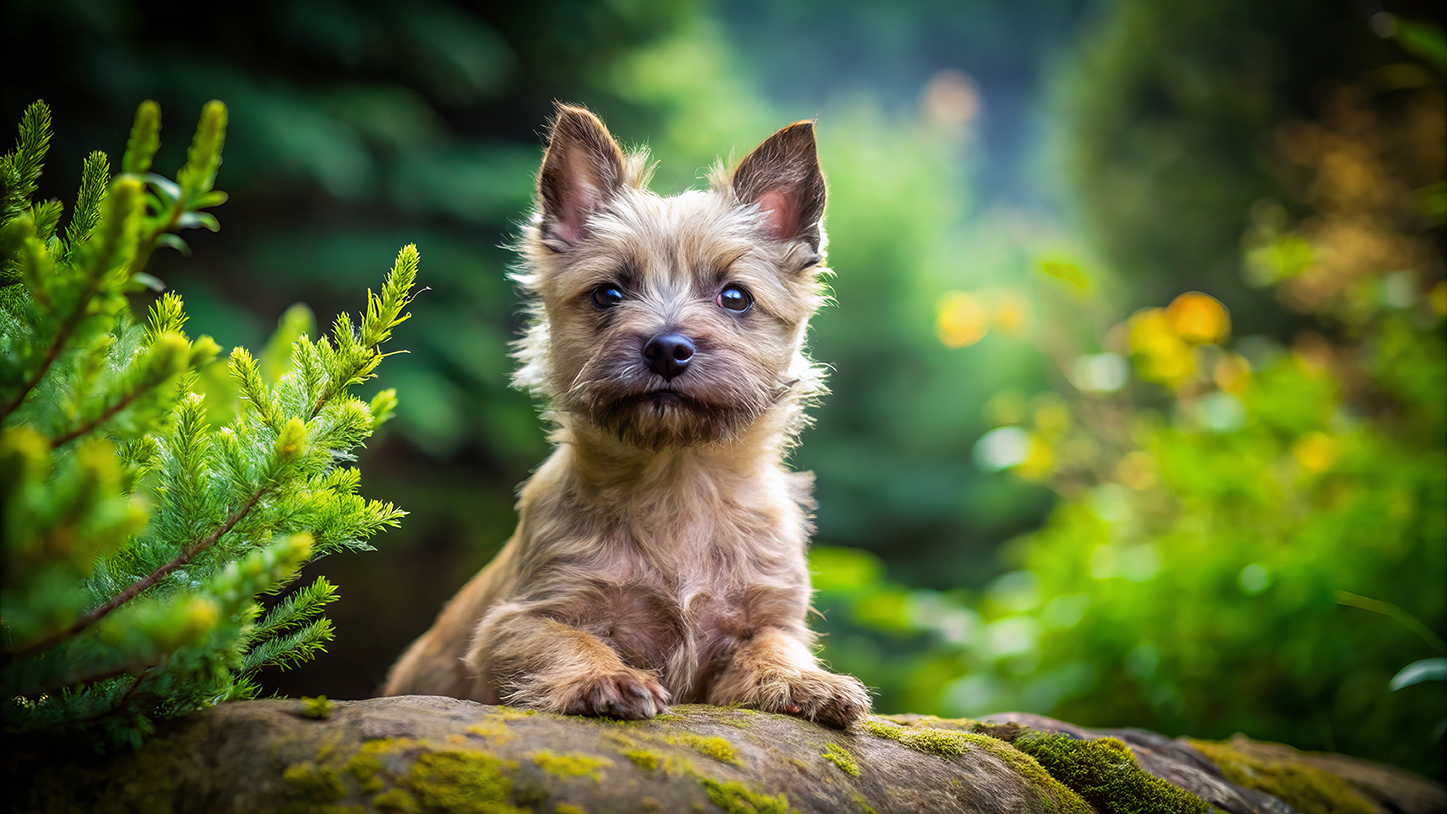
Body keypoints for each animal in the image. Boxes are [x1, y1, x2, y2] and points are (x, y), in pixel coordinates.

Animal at [382, 101, 868, 731]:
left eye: (736, 297)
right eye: (608, 294)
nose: (667, 348)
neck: (677, 482)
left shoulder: (766, 619)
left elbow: (774, 648)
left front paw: (808, 682)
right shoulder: (518, 620)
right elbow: (570, 640)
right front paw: (606, 679)